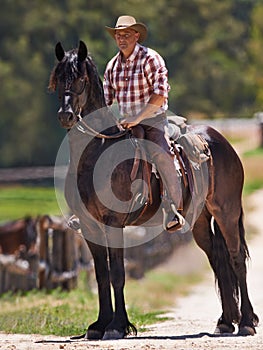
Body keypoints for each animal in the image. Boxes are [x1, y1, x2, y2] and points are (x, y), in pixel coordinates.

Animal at [48, 40, 258, 340]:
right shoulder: (90, 227)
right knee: (218, 259)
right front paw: (98, 325)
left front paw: (117, 326)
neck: (96, 154)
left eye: (80, 79)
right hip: (201, 220)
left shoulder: (114, 223)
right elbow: (101, 275)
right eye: (58, 77)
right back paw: (226, 321)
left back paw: (247, 322)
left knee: (236, 257)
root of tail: (220, 141)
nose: (65, 115)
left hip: (227, 211)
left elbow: (117, 274)